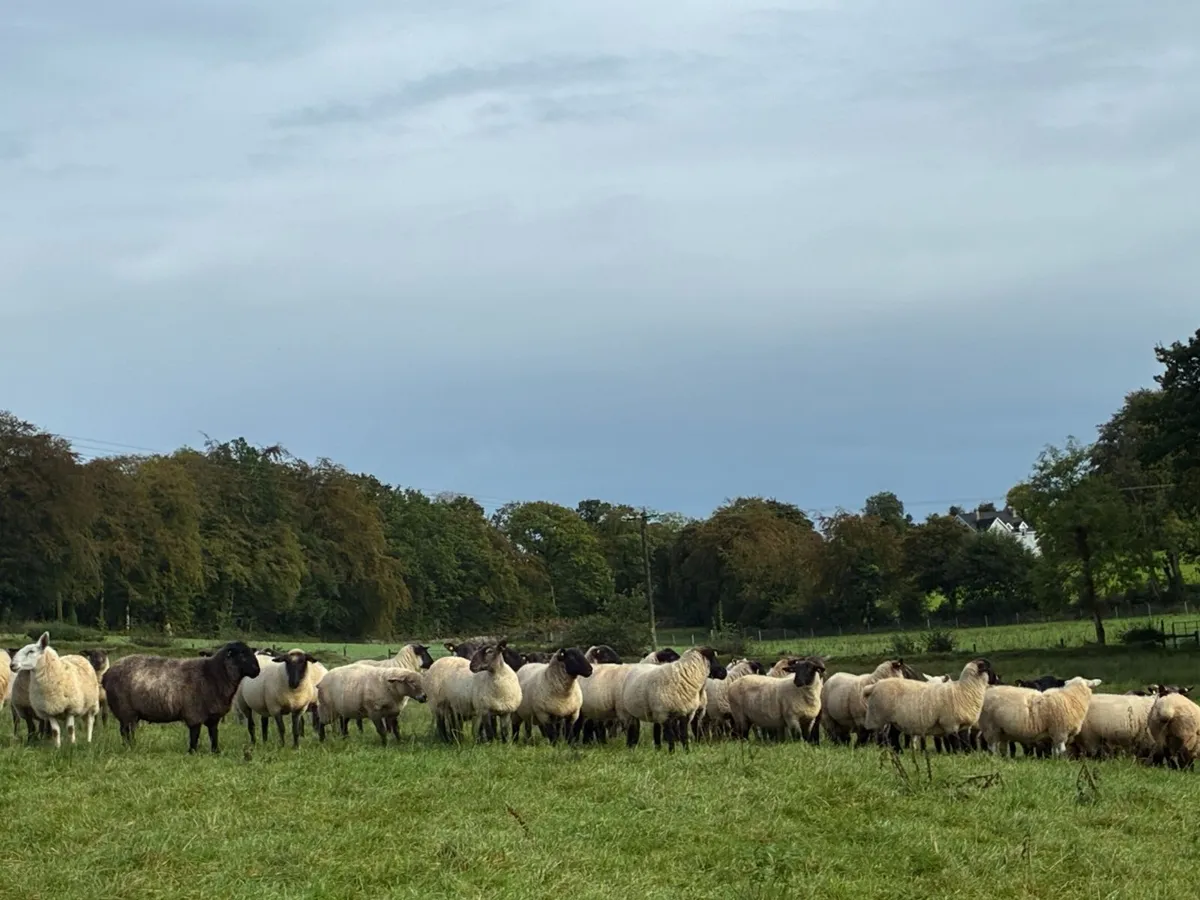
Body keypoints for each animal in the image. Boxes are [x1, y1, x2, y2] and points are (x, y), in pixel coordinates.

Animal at [103, 641, 261, 753]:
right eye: (241, 654)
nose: (257, 671)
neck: (213, 674)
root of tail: (107, 674)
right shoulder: (194, 713)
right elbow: (195, 734)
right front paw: (192, 751)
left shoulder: (213, 716)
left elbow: (213, 734)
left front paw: (216, 751)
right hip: (125, 710)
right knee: (125, 731)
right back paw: (129, 748)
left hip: (130, 713)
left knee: (129, 731)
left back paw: (132, 746)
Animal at [862, 658, 998, 751]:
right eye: (988, 669)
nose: (998, 681)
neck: (966, 689)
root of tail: (873, 686)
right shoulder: (950, 723)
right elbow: (955, 742)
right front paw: (957, 754)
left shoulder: (963, 726)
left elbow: (965, 742)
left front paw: (967, 754)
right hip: (879, 718)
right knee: (880, 736)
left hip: (895, 721)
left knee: (892, 736)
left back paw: (899, 752)